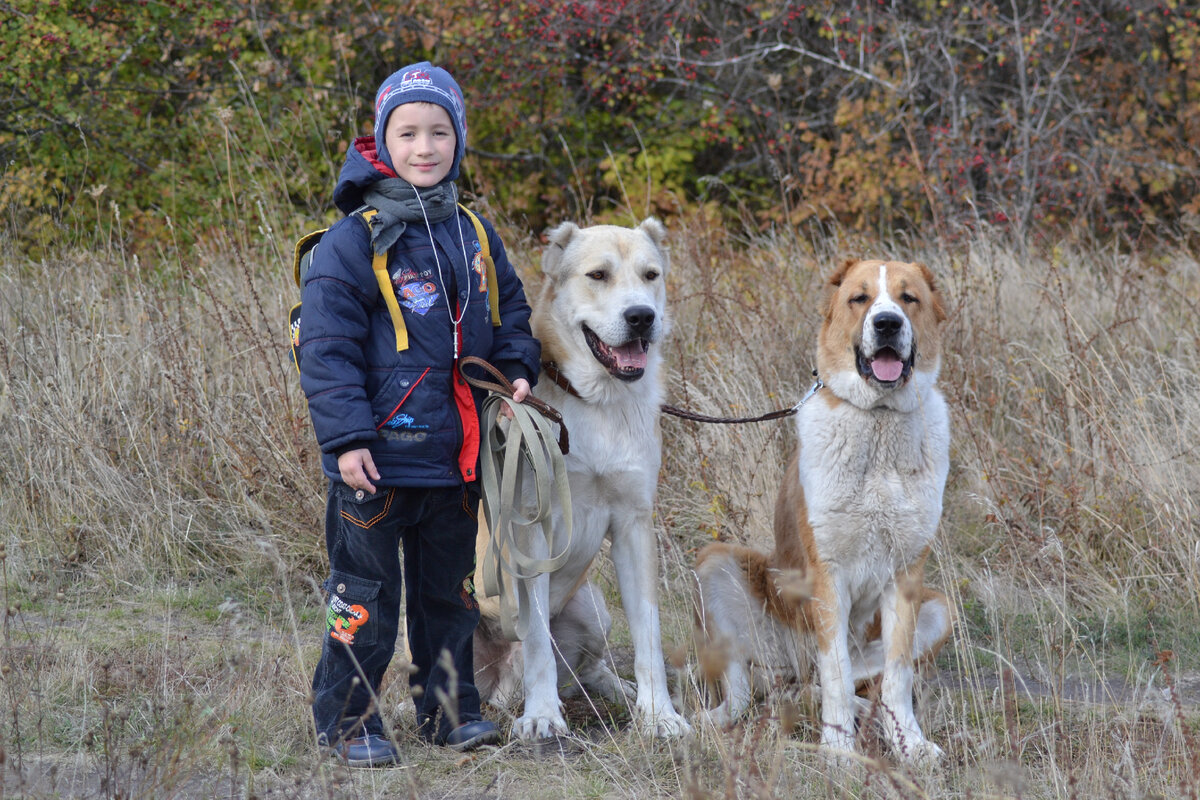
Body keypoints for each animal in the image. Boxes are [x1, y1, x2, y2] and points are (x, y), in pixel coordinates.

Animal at [472, 217, 691, 738]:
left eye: (651, 275)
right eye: (598, 275)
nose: (641, 317)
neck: (599, 403)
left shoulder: (634, 525)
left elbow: (649, 635)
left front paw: (660, 715)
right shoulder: (531, 532)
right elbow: (535, 642)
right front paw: (542, 716)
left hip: (591, 607)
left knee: (586, 670)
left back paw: (619, 691)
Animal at [696, 257, 955, 762]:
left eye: (908, 297)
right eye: (860, 298)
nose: (887, 322)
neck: (878, 424)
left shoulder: (906, 575)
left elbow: (896, 676)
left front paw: (909, 744)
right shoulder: (828, 573)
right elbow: (835, 669)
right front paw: (837, 748)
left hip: (938, 608)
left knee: (839, 682)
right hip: (716, 564)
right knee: (751, 690)